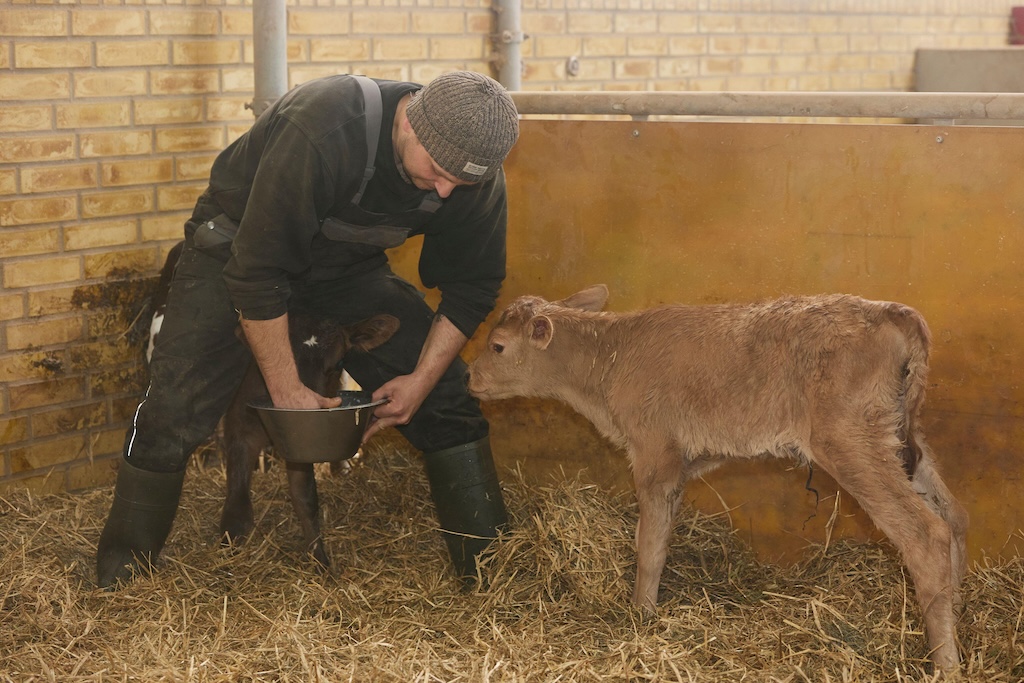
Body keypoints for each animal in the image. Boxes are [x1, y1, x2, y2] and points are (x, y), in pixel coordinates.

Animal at [468, 282, 966, 671]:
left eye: (497, 346)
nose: (470, 376)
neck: (608, 362)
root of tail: (891, 311)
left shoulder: (654, 451)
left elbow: (648, 546)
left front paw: (640, 617)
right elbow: (662, 536)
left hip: (850, 436)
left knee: (925, 533)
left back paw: (945, 662)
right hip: (900, 437)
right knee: (953, 516)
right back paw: (961, 611)